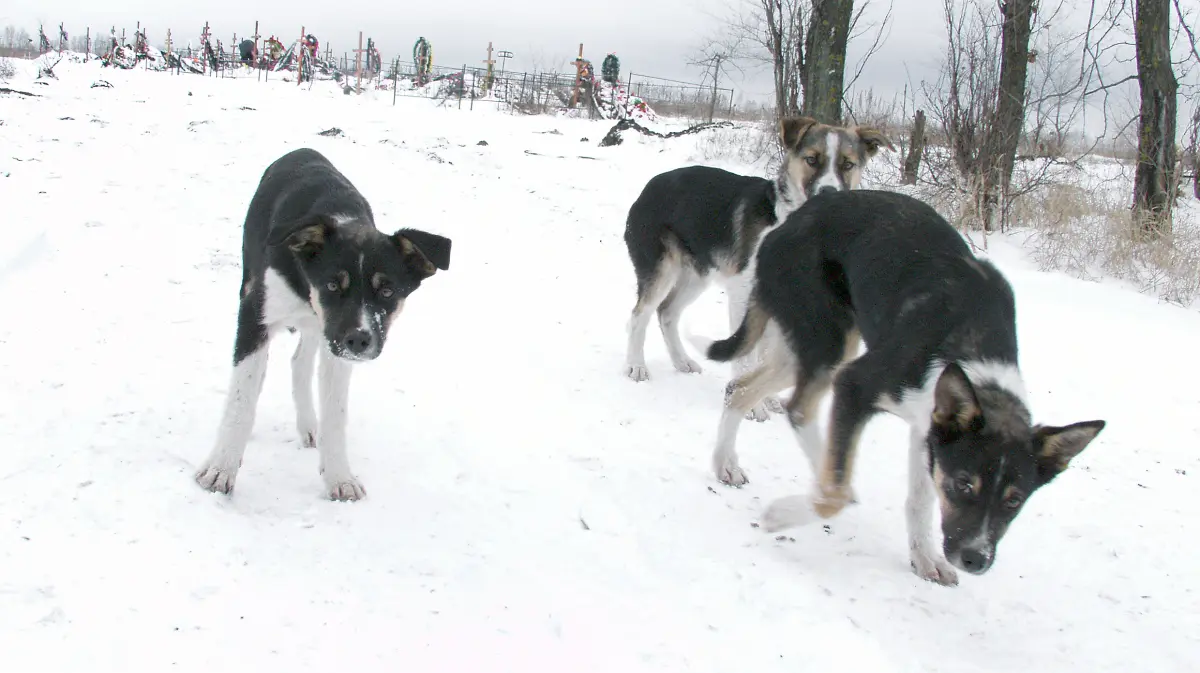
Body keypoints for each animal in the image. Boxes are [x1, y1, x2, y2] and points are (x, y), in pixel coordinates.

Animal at [194, 149, 451, 501]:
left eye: (387, 291)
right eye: (332, 284)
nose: (359, 340)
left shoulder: (336, 343)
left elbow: (334, 414)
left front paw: (339, 477)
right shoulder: (255, 317)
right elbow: (241, 399)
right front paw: (220, 470)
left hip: (322, 332)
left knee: (299, 362)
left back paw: (308, 426)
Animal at [619, 115, 892, 419]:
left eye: (847, 164)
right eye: (812, 159)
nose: (829, 192)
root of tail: (650, 185)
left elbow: (764, 356)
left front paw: (765, 397)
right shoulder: (744, 293)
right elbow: (746, 354)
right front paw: (750, 406)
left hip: (697, 275)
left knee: (667, 313)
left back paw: (682, 361)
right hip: (661, 270)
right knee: (639, 315)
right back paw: (636, 366)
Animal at [696, 187, 1104, 583]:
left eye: (1014, 500)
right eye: (963, 483)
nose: (976, 559)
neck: (972, 347)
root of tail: (791, 221)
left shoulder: (928, 429)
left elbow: (919, 501)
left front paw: (924, 557)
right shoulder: (856, 385)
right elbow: (836, 493)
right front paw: (782, 515)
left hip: (808, 348)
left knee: (741, 389)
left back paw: (726, 463)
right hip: (829, 345)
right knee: (799, 411)